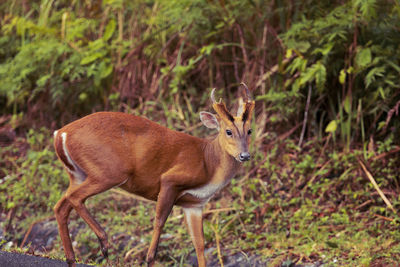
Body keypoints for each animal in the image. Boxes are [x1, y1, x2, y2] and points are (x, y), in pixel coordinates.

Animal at [53, 83, 255, 266]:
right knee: (74, 197)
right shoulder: (170, 180)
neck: (209, 162)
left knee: (60, 206)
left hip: (78, 174)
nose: (245, 155)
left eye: (249, 130)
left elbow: (199, 244)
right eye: (228, 131)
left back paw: (72, 259)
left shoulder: (194, 204)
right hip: (109, 171)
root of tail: (61, 134)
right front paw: (149, 259)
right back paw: (103, 242)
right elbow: (159, 222)